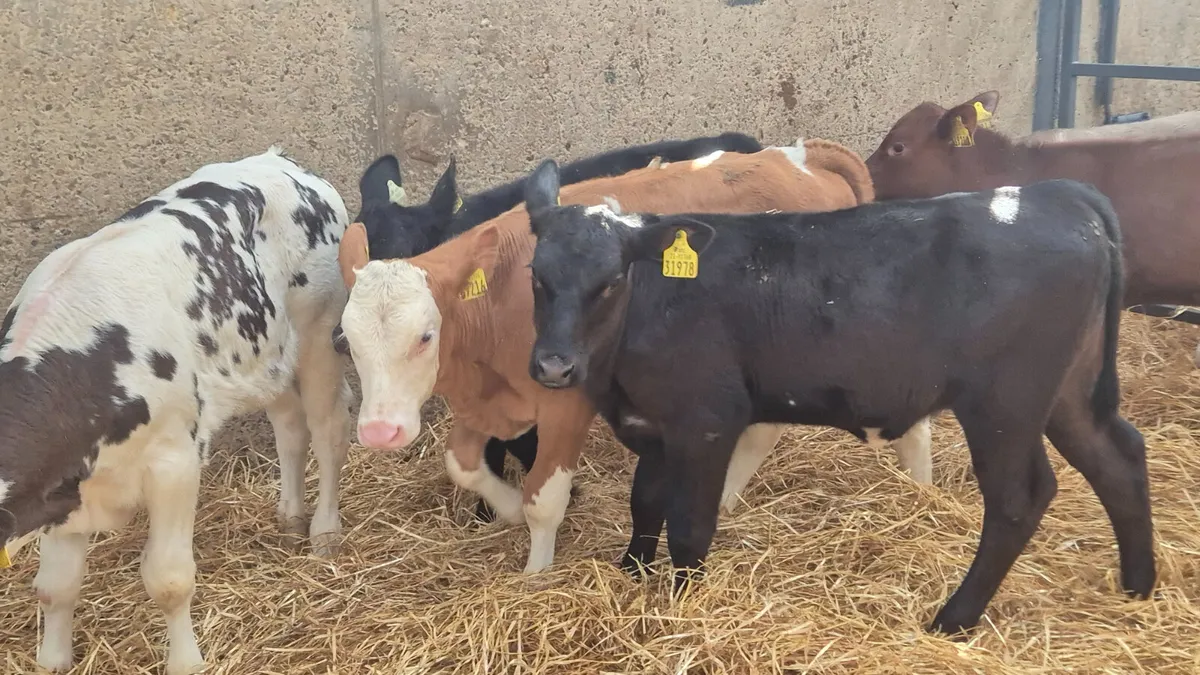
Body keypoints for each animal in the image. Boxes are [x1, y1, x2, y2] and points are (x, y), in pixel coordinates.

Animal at [0, 148, 352, 674]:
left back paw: (323, 531)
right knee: (290, 426)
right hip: (265, 355)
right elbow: (55, 587)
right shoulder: (61, 489)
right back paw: (290, 515)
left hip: (320, 334)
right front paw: (53, 660)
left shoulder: (174, 462)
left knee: (328, 427)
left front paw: (186, 662)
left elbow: (169, 580)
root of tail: (282, 161)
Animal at [521, 160, 1155, 635]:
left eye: (610, 281)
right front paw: (630, 575)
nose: (553, 365)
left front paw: (682, 604)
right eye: (536, 276)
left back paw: (954, 618)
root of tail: (1055, 193)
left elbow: (689, 526)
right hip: (1069, 392)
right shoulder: (653, 423)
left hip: (1004, 403)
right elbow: (645, 502)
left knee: (1018, 500)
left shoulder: (706, 421)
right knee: (1118, 458)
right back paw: (1139, 586)